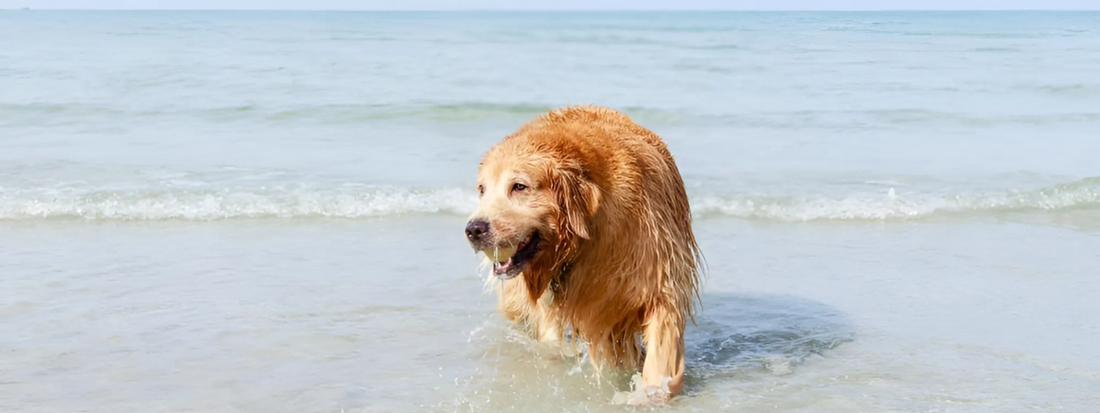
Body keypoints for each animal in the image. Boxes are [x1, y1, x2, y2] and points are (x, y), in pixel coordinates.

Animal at [459, 104, 699, 405]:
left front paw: (647, 395)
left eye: (519, 186)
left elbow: (662, 347)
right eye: (482, 189)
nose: (474, 229)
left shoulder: (659, 276)